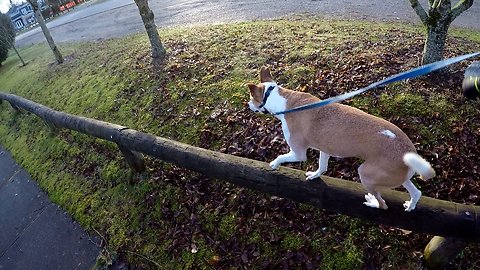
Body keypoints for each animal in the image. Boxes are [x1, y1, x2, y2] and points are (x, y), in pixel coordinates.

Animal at [248, 67, 436, 211]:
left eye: (251, 98)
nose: (247, 104)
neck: (283, 101)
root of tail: (407, 150)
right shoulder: (324, 149)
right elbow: (322, 167)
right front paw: (315, 175)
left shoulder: (298, 153)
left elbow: (282, 157)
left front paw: (274, 164)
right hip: (396, 176)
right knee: (416, 192)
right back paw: (410, 205)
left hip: (366, 174)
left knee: (383, 204)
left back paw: (373, 203)